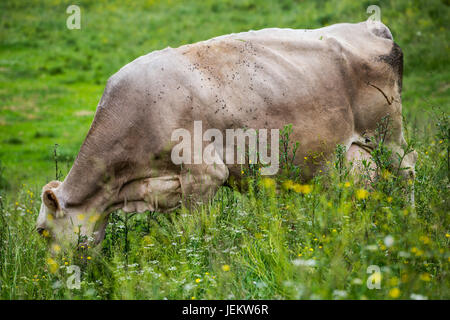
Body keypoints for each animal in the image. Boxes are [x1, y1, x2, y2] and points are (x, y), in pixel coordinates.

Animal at [36, 21, 418, 250]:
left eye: (41, 231)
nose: (57, 278)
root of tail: (372, 27)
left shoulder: (205, 174)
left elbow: (195, 233)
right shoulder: (169, 188)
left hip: (388, 136)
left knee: (408, 170)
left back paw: (409, 223)